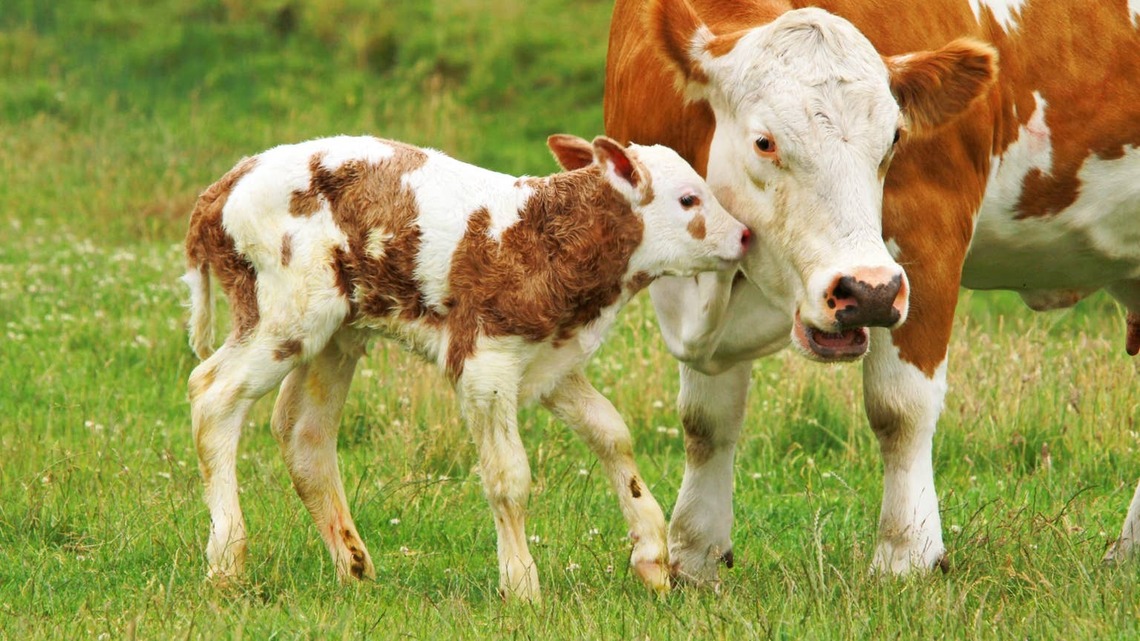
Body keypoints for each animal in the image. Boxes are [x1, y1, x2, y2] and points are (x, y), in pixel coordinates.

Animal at [181, 133, 750, 600]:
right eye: (689, 199)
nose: (745, 235)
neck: (543, 238)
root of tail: (226, 183)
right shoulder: (485, 363)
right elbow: (508, 476)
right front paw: (521, 586)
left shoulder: (550, 358)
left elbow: (612, 433)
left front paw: (651, 554)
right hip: (286, 312)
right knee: (212, 393)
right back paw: (227, 562)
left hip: (337, 331)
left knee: (303, 432)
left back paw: (354, 567)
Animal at [605, 0, 1140, 583]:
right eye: (765, 142)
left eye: (895, 140)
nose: (868, 293)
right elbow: (706, 419)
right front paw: (695, 556)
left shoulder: (927, 238)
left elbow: (900, 407)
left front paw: (906, 555)